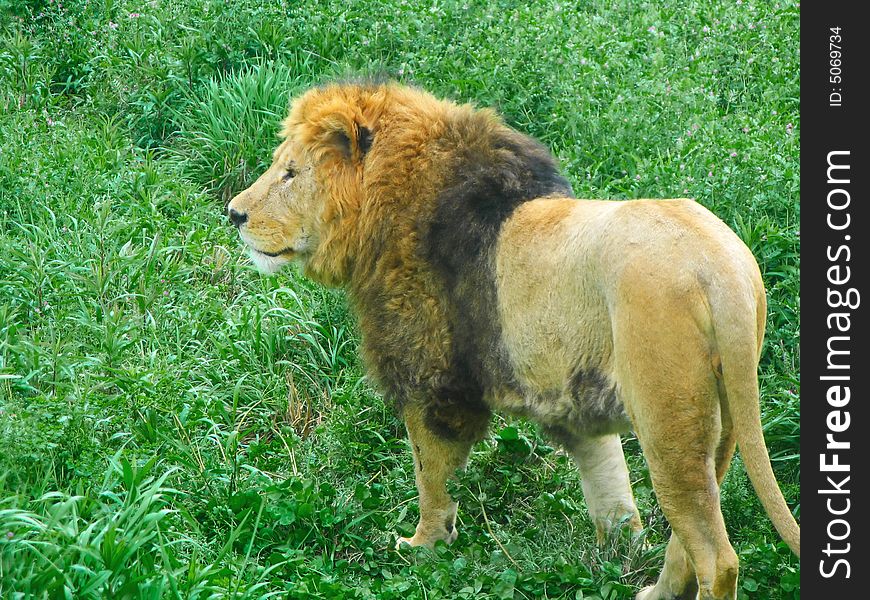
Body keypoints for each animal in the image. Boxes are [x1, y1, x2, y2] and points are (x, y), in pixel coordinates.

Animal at [228, 82, 800, 600]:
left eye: (290, 172)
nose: (234, 214)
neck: (381, 210)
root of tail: (720, 270)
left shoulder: (432, 378)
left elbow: (432, 475)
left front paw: (422, 548)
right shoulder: (573, 397)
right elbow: (610, 488)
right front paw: (614, 552)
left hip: (668, 419)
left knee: (717, 557)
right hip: (722, 417)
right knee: (688, 541)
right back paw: (652, 593)